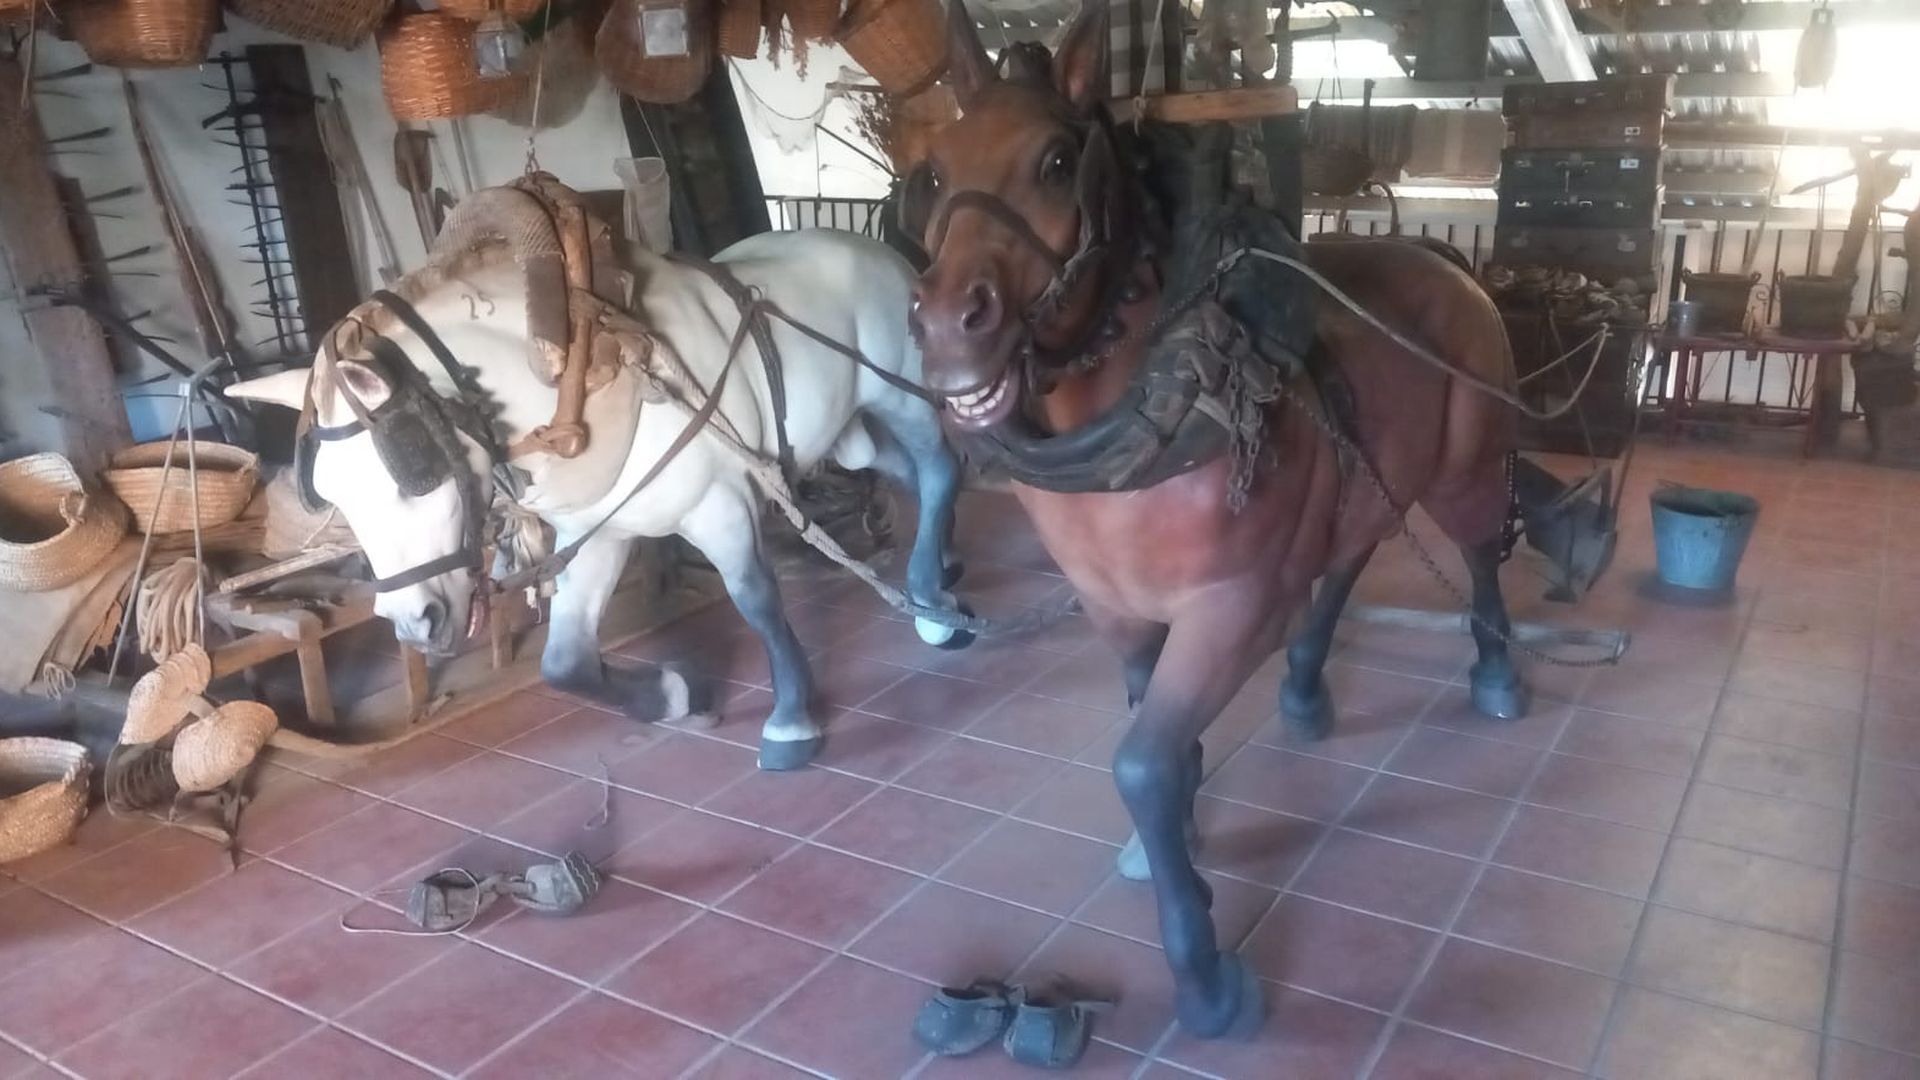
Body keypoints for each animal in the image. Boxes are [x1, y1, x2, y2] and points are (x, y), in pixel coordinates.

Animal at [227, 195, 967, 774]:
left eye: (414, 471)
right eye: (333, 498)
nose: (413, 623)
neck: (579, 375)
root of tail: (880, 250)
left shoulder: (719, 505)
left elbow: (756, 599)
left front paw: (790, 720)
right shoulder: (597, 532)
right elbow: (565, 664)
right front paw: (671, 696)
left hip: (898, 391)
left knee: (938, 468)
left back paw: (933, 603)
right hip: (844, 425)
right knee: (900, 470)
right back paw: (941, 572)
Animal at [905, 0, 1552, 1038]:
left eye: (1057, 160)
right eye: (933, 171)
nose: (946, 330)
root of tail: (1444, 259)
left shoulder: (1232, 608)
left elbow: (1142, 764)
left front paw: (1209, 980)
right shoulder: (1119, 612)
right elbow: (1156, 739)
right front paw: (1173, 847)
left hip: (1464, 471)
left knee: (1481, 556)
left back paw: (1495, 678)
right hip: (1370, 480)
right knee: (1348, 561)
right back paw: (1305, 691)